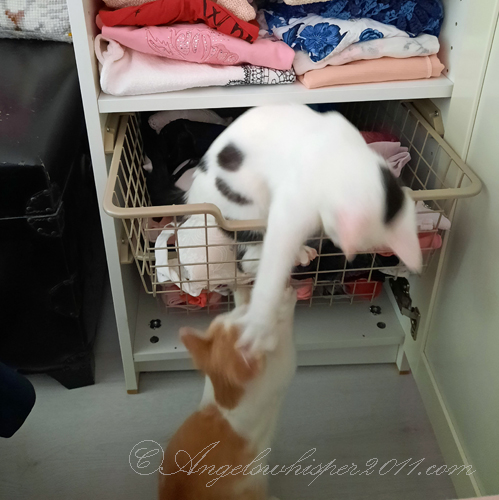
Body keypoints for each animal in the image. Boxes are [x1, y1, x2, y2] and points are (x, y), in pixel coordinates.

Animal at [159, 287, 297, 500]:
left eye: (243, 311)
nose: (251, 304)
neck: (225, 392)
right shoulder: (278, 374)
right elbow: (284, 343)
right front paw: (282, 302)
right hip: (253, 484)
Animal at [185, 104, 422, 351]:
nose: (349, 252)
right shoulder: (293, 205)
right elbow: (273, 265)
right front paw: (258, 324)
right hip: (243, 211)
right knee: (247, 257)